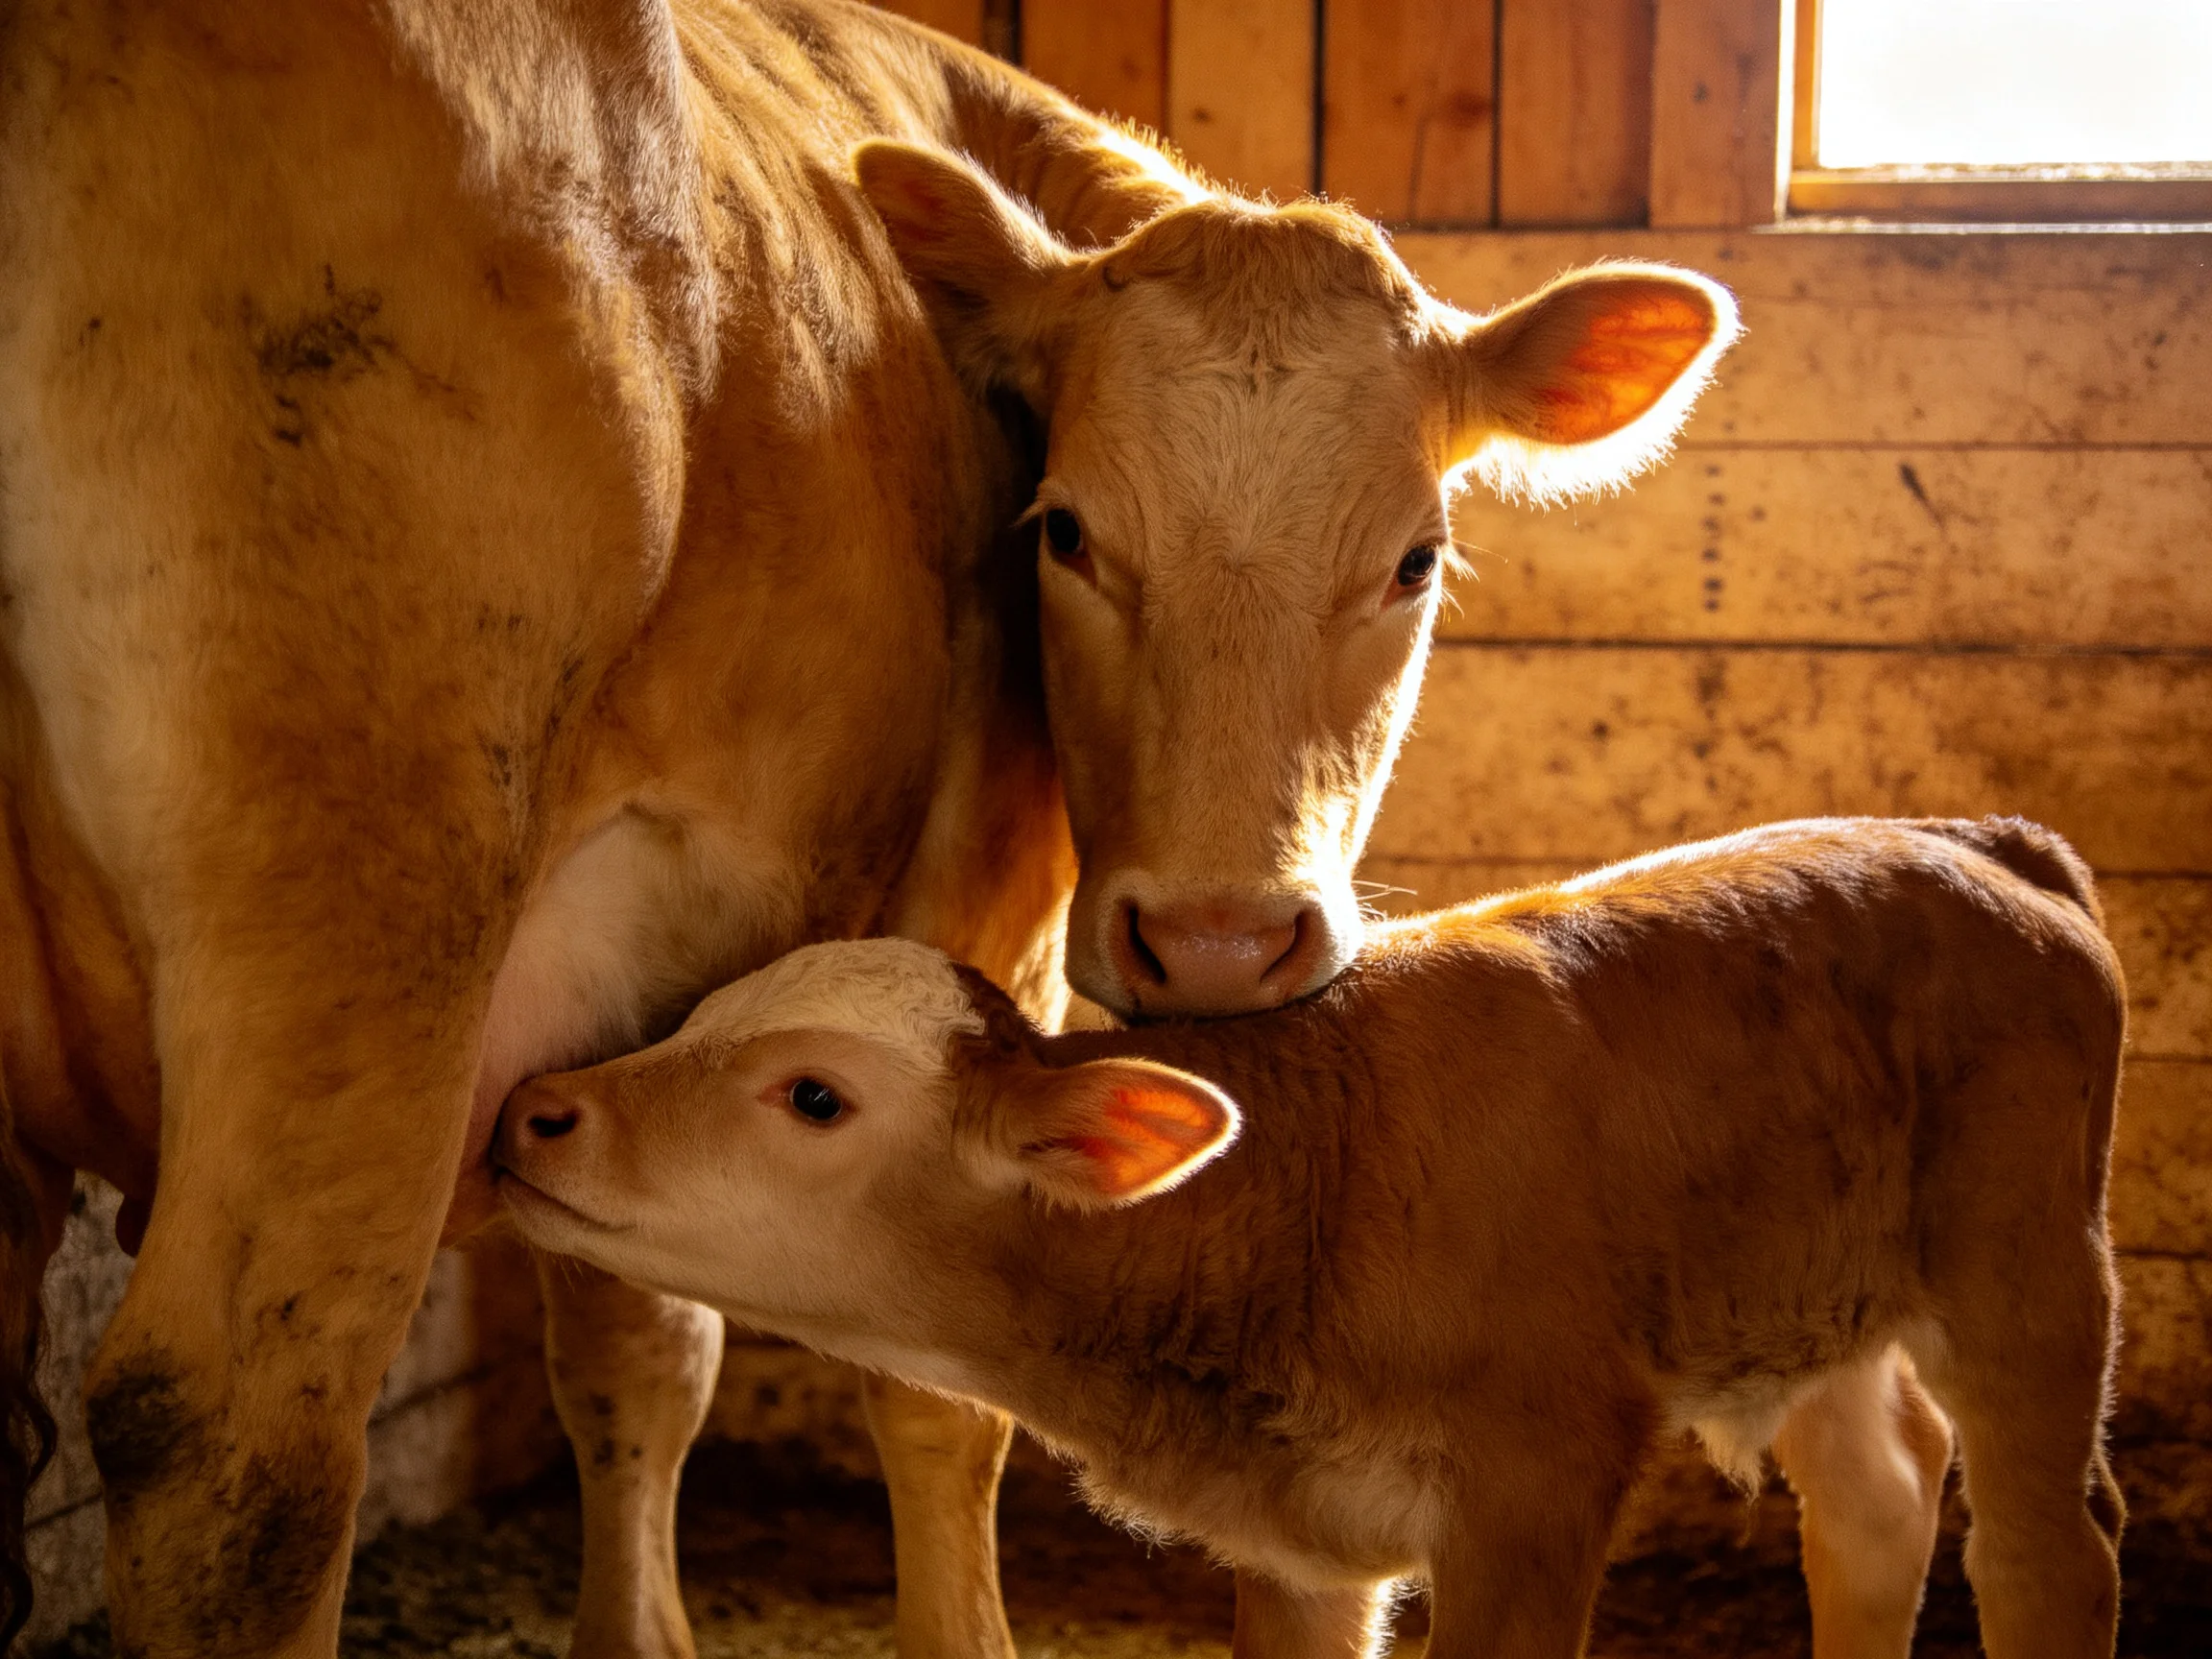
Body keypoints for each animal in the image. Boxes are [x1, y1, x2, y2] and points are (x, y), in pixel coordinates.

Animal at [0, 0, 1736, 1650]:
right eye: (1063, 531)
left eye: (1416, 557)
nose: (1215, 941)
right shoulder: (973, 901)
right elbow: (930, 1382)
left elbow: (635, 1325)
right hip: (364, 884)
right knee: (239, 1446)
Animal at [496, 816, 2129, 1659]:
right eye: (695, 1016)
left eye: (815, 1097)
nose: (536, 1107)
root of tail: (1979, 839)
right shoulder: (1296, 1539)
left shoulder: (1541, 1480)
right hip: (1804, 1287)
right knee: (1877, 1502)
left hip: (2029, 1266)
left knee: (2050, 1545)